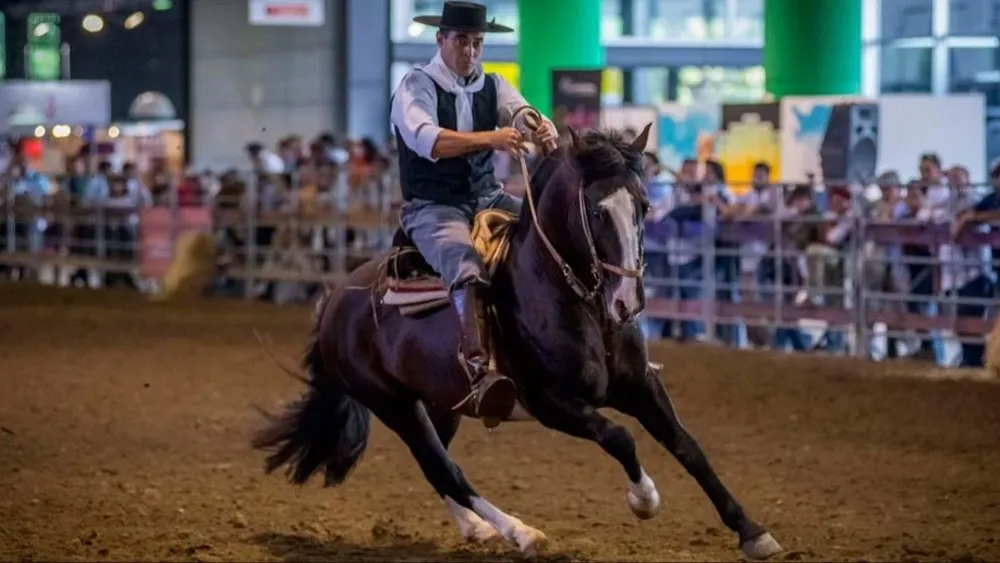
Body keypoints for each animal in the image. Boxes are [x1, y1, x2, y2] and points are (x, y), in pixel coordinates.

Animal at [252, 120, 784, 560]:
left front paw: (753, 532)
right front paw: (644, 499)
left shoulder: (640, 387)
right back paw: (520, 532)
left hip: (441, 404)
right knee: (443, 467)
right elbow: (619, 437)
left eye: (645, 205)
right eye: (596, 210)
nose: (627, 302)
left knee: (438, 465)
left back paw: (477, 528)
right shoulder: (552, 404)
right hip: (394, 405)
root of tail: (333, 303)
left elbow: (688, 447)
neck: (574, 300)